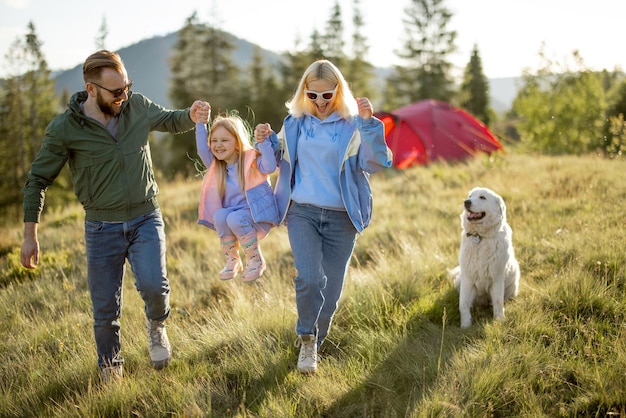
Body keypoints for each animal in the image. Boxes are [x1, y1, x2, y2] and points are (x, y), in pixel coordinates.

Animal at [450, 188, 520, 328]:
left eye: (482, 197)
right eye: (470, 196)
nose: (466, 202)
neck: (479, 237)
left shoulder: (497, 279)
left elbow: (498, 302)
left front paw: (499, 321)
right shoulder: (467, 280)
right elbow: (463, 304)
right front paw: (465, 325)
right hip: (458, 282)